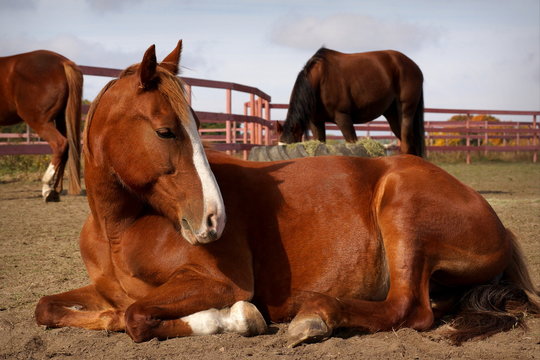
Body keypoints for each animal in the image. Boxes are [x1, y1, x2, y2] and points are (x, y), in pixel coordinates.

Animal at [0, 50, 82, 202]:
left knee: (60, 144)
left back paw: (47, 189)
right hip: (60, 119)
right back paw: (55, 190)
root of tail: (62, 62)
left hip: (40, 121)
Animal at [278, 47, 426, 156]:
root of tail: (415, 67)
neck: (319, 80)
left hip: (406, 112)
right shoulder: (316, 122)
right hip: (393, 116)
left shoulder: (343, 118)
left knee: (406, 145)